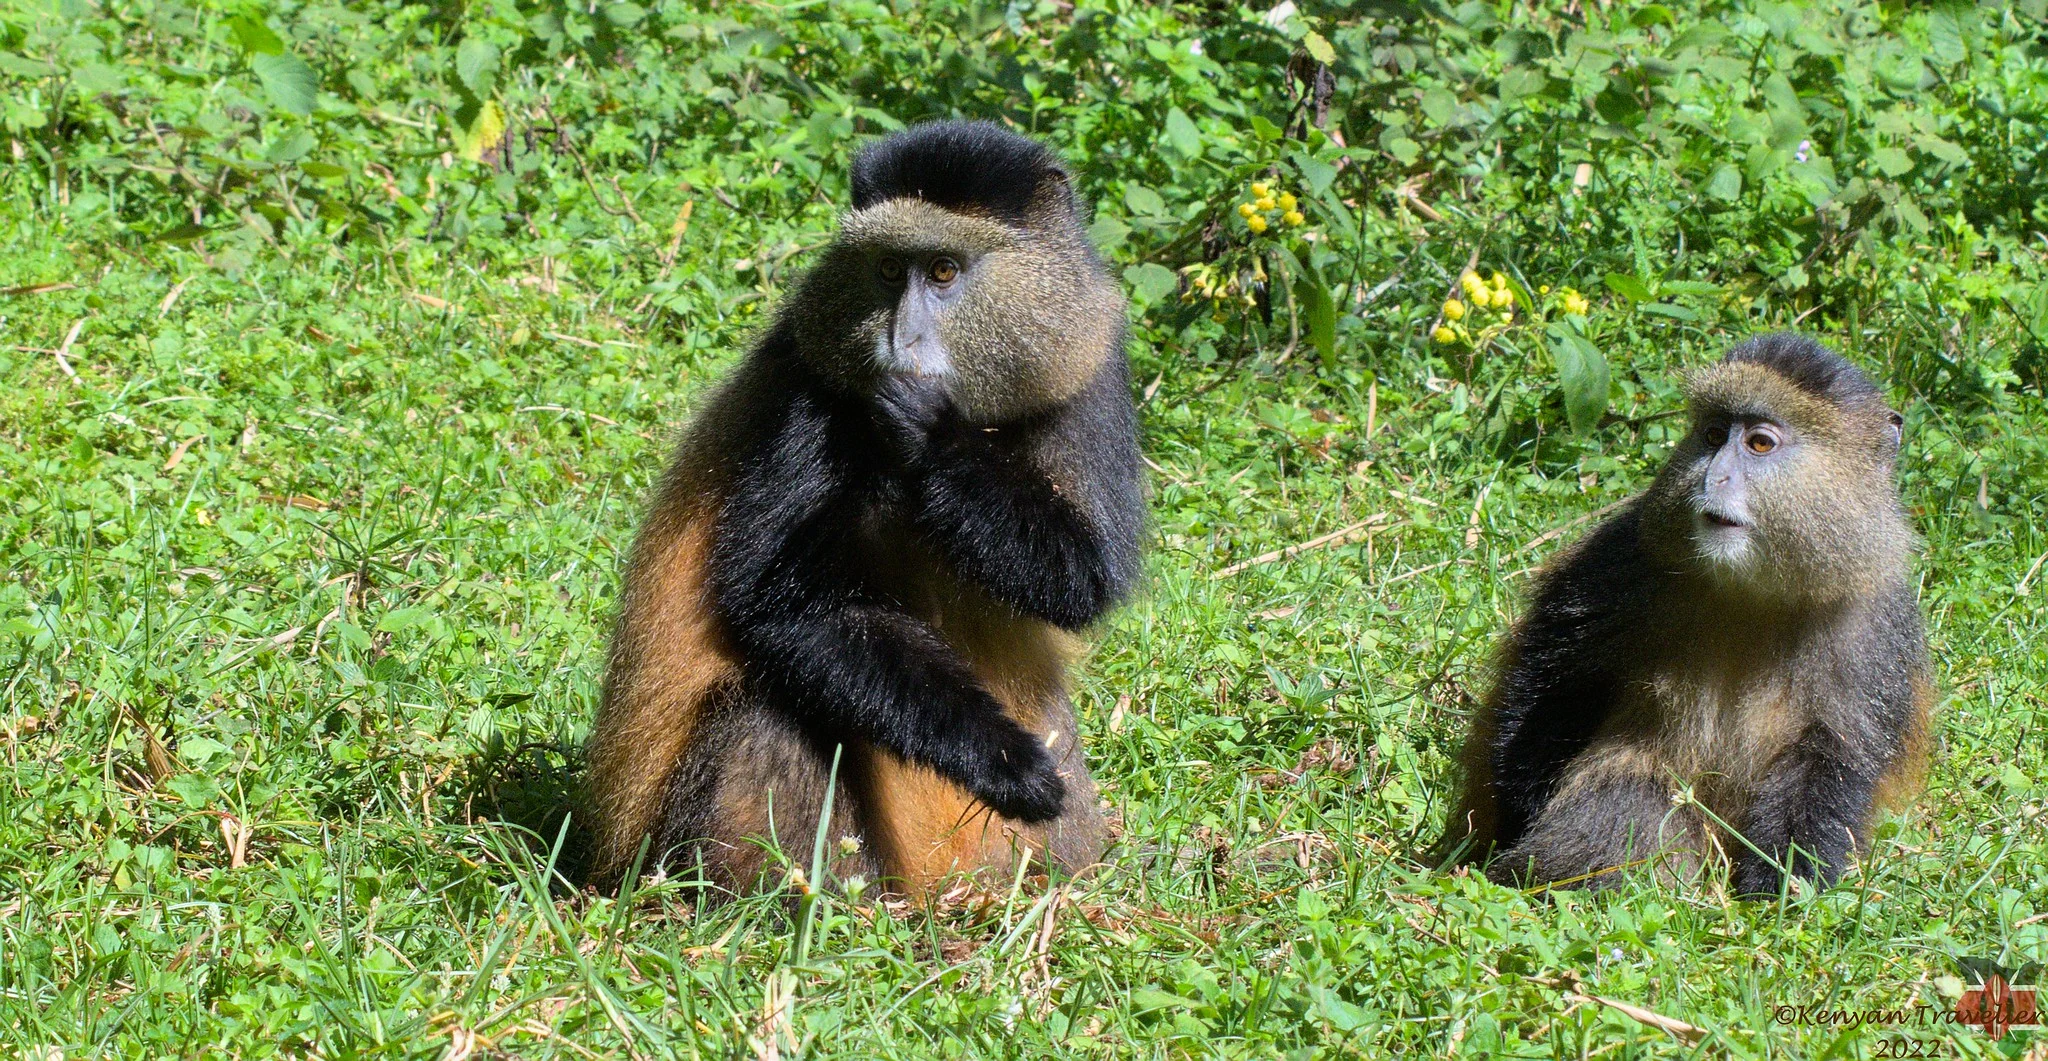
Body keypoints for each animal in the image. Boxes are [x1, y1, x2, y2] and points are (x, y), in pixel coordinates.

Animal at [580, 120, 1144, 898]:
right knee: (765, 712)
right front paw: (1005, 762)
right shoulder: (811, 389)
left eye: (943, 271)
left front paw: (930, 436)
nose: (898, 340)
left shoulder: (1089, 365)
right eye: (884, 270)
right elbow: (782, 607)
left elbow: (1086, 579)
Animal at [1441, 334, 1932, 896]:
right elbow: (1555, 679)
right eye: (1714, 435)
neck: (1751, 594)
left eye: (1759, 444)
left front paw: (1786, 884)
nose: (1712, 476)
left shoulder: (1877, 626)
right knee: (1631, 795)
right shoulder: (1620, 560)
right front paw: (1515, 815)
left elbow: (1835, 752)